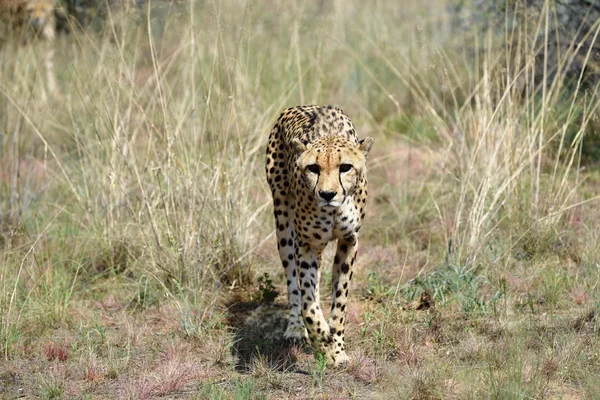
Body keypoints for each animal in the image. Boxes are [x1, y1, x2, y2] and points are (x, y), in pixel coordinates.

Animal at [264, 104, 372, 366]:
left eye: (345, 167)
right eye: (313, 168)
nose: (327, 194)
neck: (333, 211)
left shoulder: (349, 241)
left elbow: (340, 300)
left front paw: (337, 348)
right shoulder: (307, 244)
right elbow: (308, 303)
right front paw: (321, 335)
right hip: (283, 223)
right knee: (294, 281)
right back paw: (296, 327)